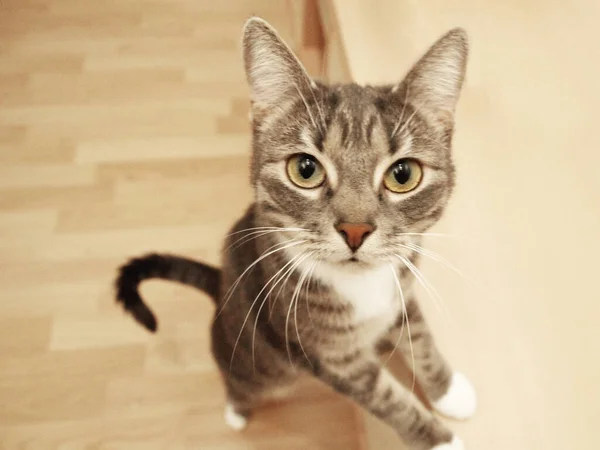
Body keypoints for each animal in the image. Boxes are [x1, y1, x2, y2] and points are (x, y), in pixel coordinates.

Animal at [115, 16, 476, 450]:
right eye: (305, 169)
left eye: (403, 175)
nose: (355, 229)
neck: (363, 287)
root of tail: (220, 287)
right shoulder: (330, 357)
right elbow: (389, 400)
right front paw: (440, 440)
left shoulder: (402, 288)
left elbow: (420, 337)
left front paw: (449, 391)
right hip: (258, 365)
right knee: (240, 382)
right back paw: (236, 411)